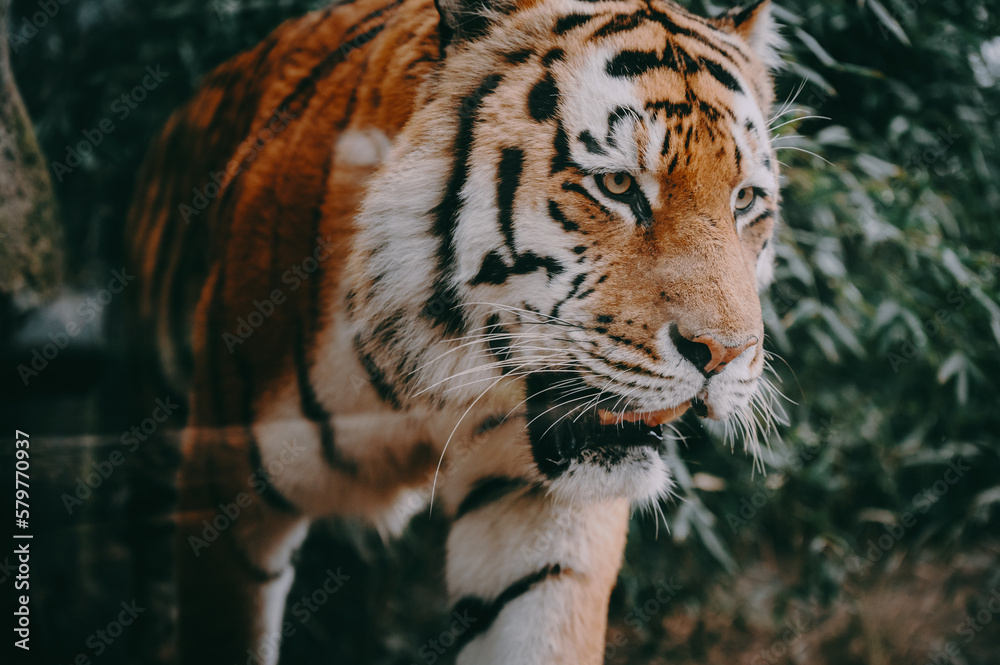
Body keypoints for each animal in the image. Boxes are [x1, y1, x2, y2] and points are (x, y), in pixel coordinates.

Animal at [125, 0, 784, 662]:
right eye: (617, 185)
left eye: (746, 200)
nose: (724, 354)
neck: (428, 379)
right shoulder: (227, 498)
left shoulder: (539, 512)